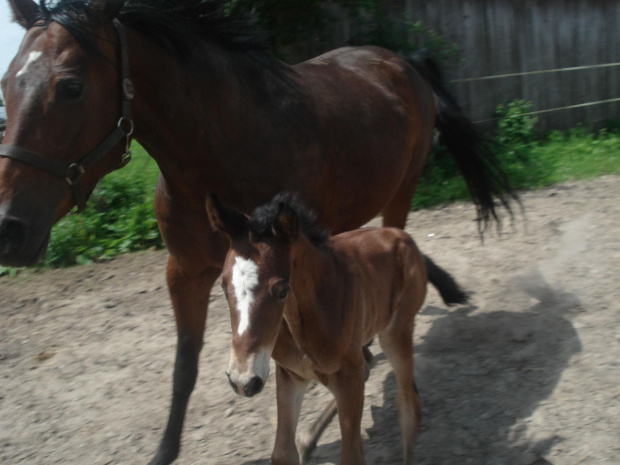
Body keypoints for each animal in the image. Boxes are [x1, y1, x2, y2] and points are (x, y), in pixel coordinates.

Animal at [206, 191, 468, 460]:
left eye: (281, 290)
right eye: (223, 287)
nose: (242, 380)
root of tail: (404, 237)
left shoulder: (348, 378)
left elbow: (352, 454)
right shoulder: (291, 376)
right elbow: (282, 452)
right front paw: (302, 442)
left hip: (396, 331)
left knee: (408, 408)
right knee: (369, 363)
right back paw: (308, 439)